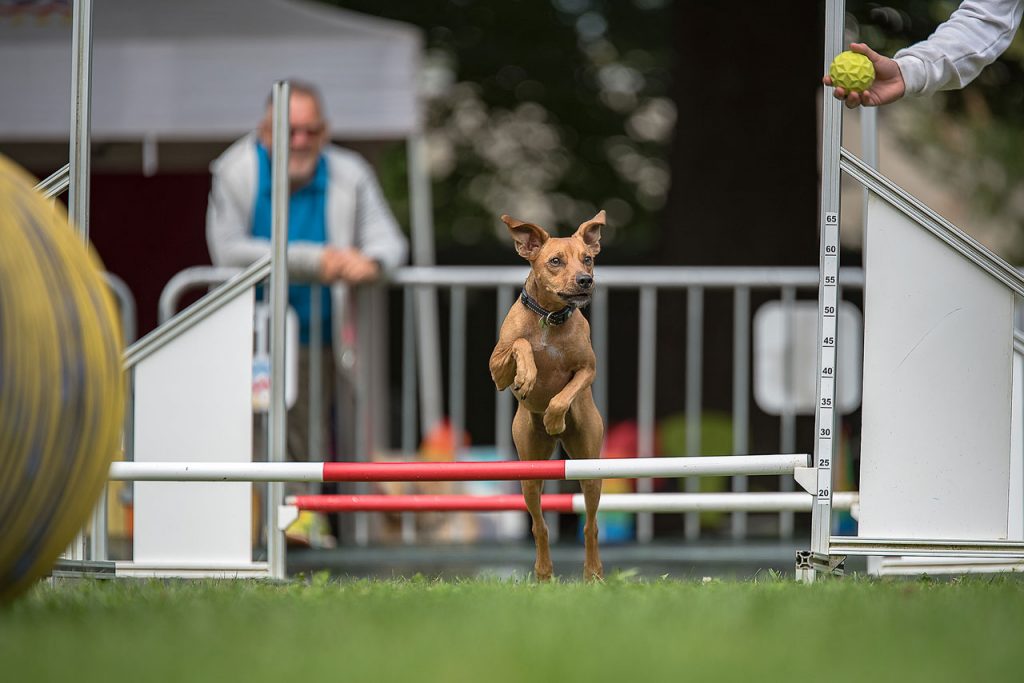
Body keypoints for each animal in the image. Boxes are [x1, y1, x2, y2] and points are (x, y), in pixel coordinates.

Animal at [489, 209, 602, 581]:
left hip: (589, 466)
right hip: (528, 473)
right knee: (539, 526)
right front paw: (527, 375)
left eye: (588, 258)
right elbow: (520, 345)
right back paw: (543, 571)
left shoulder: (587, 369)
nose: (585, 280)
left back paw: (593, 572)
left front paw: (554, 417)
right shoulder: (496, 368)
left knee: (591, 526)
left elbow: (564, 393)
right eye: (555, 261)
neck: (550, 318)